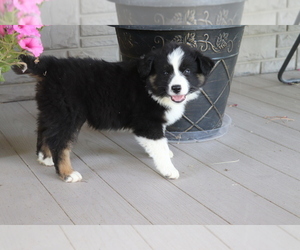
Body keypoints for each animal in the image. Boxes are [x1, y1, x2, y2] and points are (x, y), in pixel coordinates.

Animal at [14, 42, 213, 184]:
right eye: (165, 72)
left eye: (187, 71)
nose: (176, 88)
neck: (149, 85)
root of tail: (50, 67)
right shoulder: (147, 123)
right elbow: (159, 147)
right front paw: (169, 169)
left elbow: (161, 144)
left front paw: (166, 154)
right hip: (68, 114)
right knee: (59, 142)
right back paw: (67, 173)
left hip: (52, 109)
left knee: (44, 130)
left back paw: (45, 158)